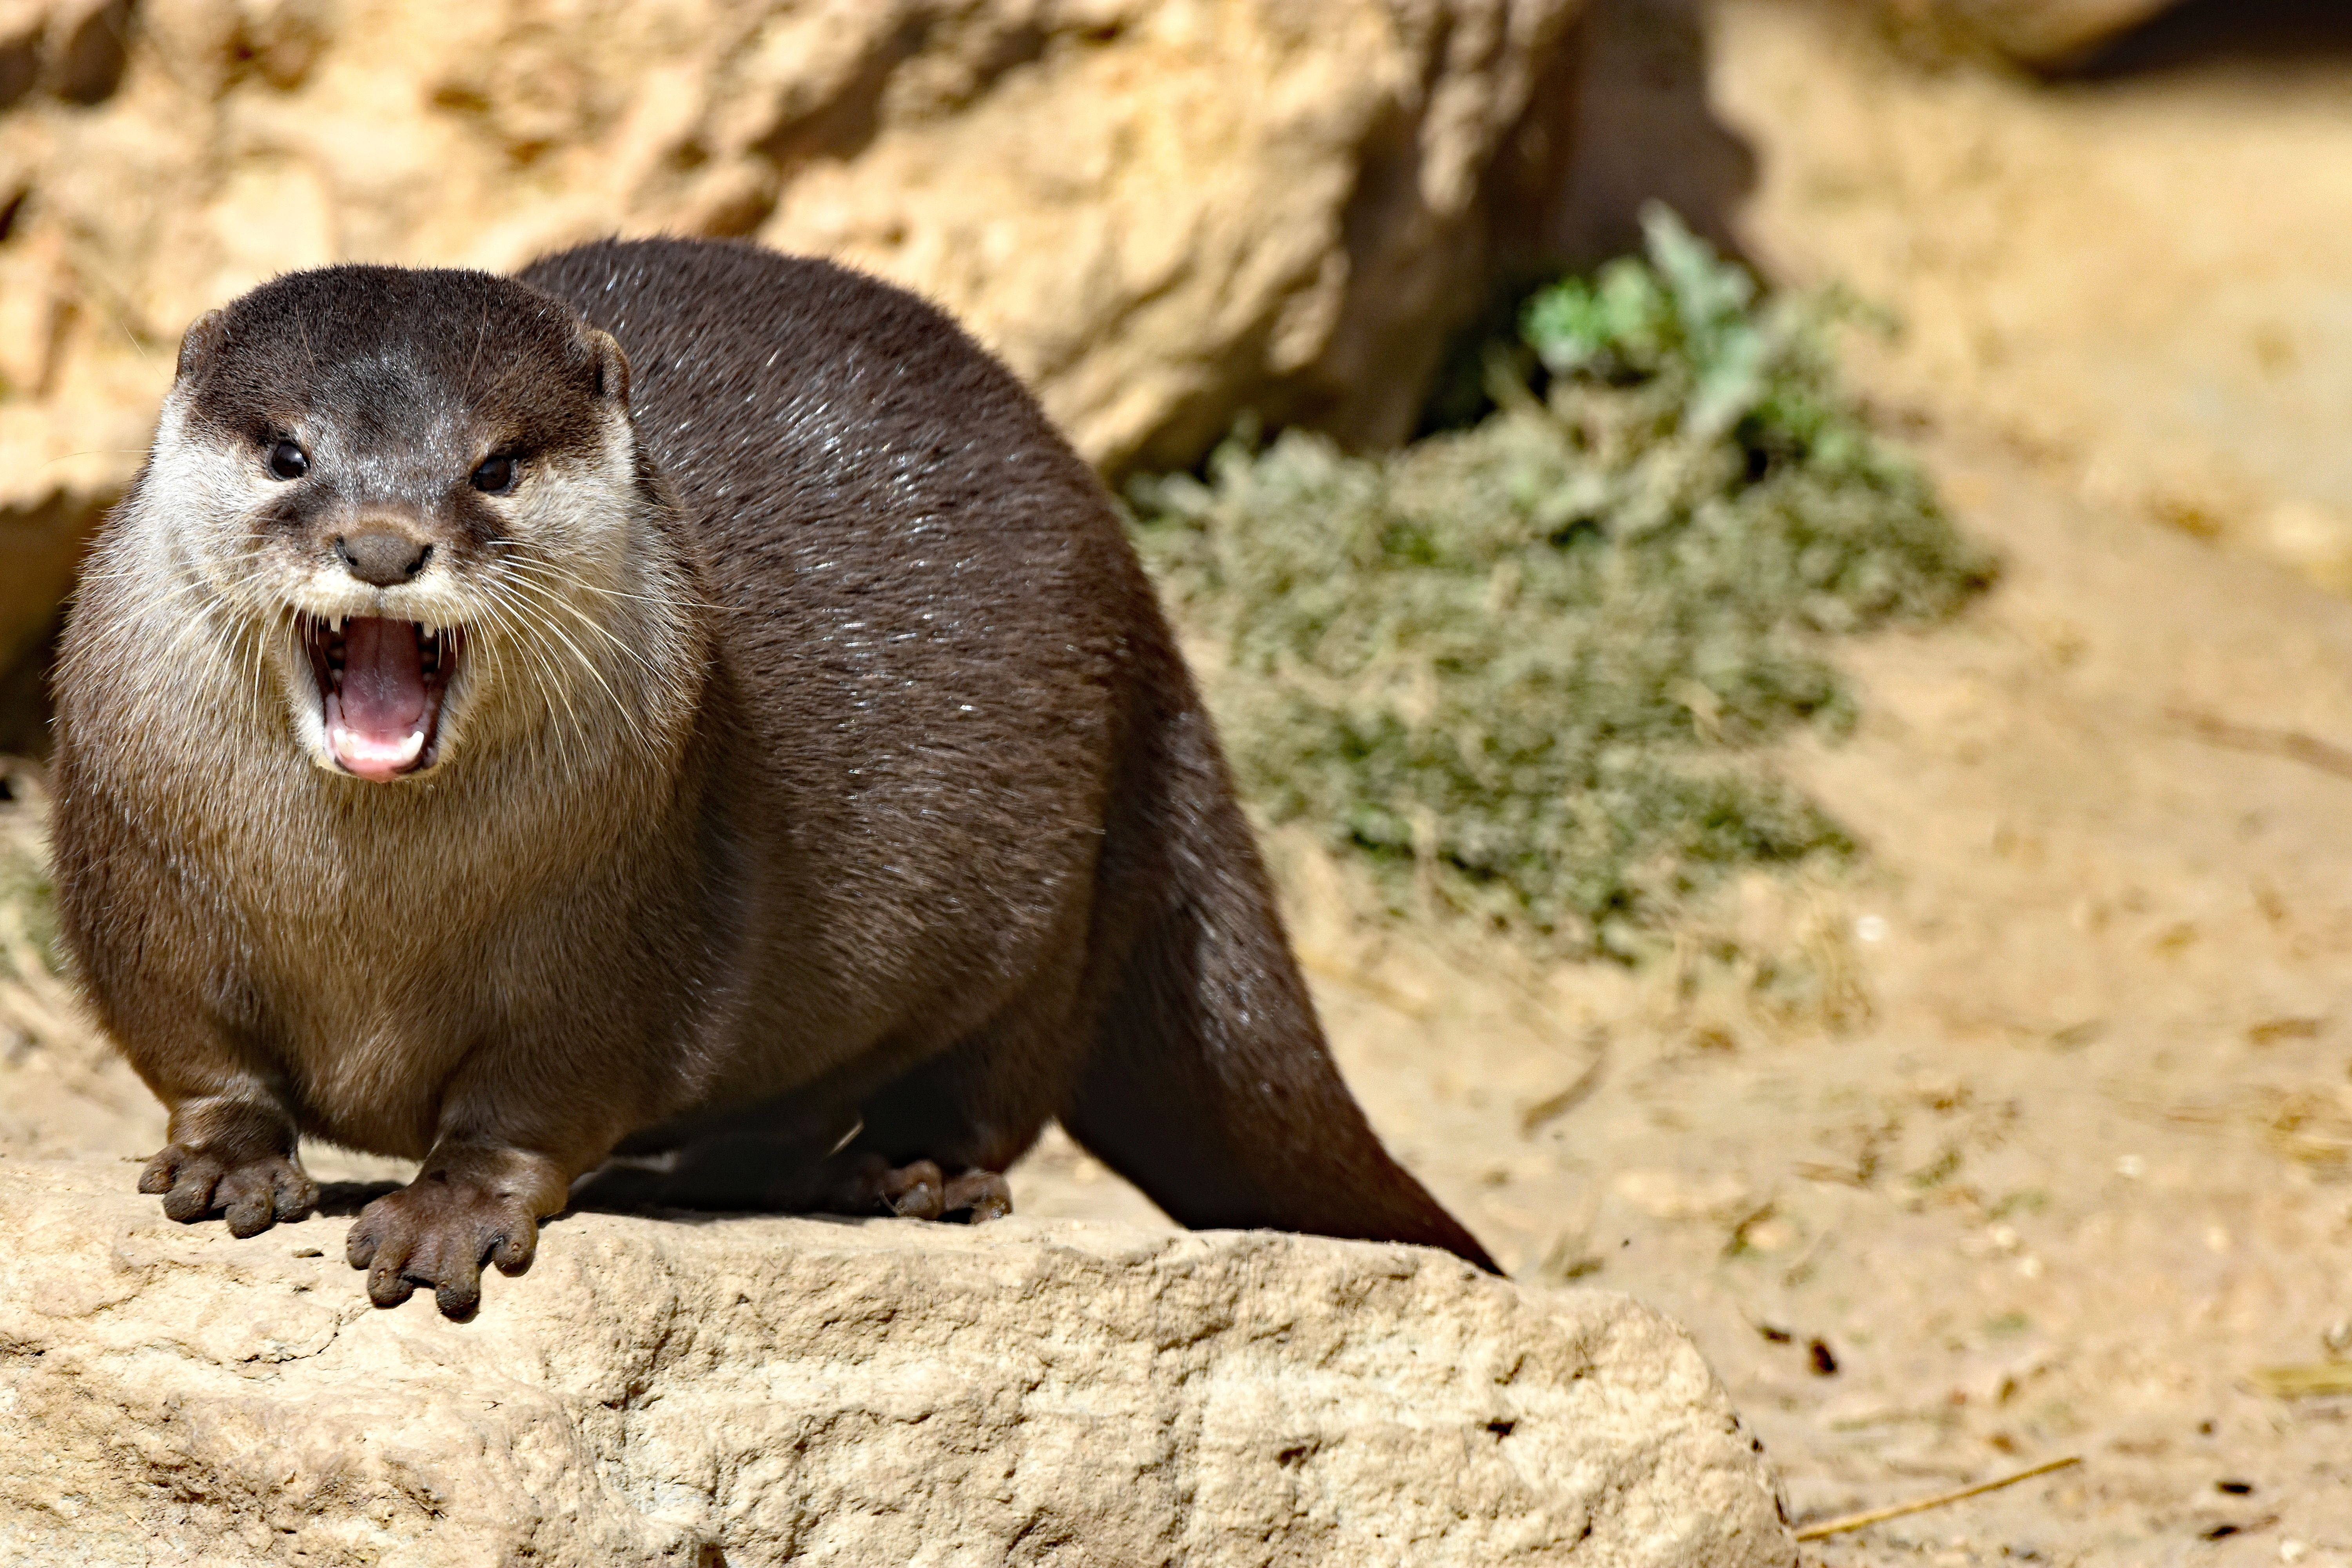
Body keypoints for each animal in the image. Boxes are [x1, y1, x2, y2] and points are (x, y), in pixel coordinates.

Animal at [51, 238, 1496, 1318]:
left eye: (495, 466)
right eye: (290, 454)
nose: (384, 544)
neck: (366, 928)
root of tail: (1137, 589)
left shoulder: (618, 922)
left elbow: (534, 1104)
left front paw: (445, 1213)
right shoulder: (140, 888)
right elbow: (198, 1053)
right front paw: (229, 1164)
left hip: (1055, 889)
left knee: (999, 1079)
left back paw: (916, 1176)